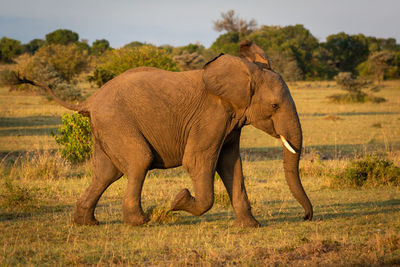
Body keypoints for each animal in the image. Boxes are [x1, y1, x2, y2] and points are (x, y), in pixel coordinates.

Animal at [18, 40, 312, 228]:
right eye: (275, 106)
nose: (306, 217)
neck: (244, 71)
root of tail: (89, 101)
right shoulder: (211, 117)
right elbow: (197, 162)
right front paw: (178, 200)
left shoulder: (231, 121)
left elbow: (231, 166)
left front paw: (252, 226)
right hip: (117, 122)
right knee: (138, 161)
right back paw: (140, 222)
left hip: (105, 128)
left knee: (106, 173)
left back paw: (87, 223)